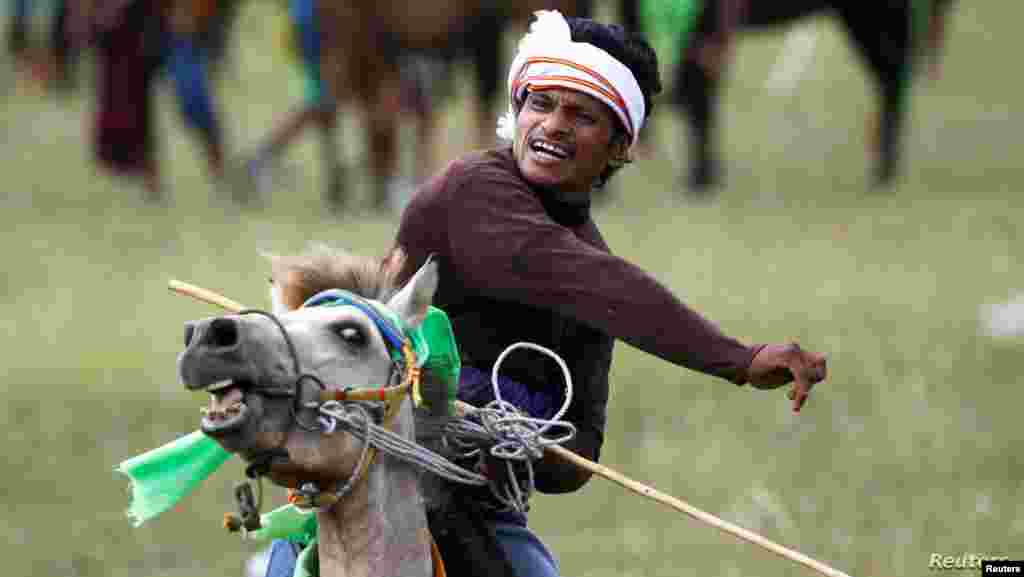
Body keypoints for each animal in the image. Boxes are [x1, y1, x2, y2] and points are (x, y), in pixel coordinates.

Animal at [671, 0, 958, 193]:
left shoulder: (705, 27)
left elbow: (698, 99)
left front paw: (701, 180)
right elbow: (695, 98)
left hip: (870, 17)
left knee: (893, 78)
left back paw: (883, 172)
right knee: (892, 79)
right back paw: (885, 168)